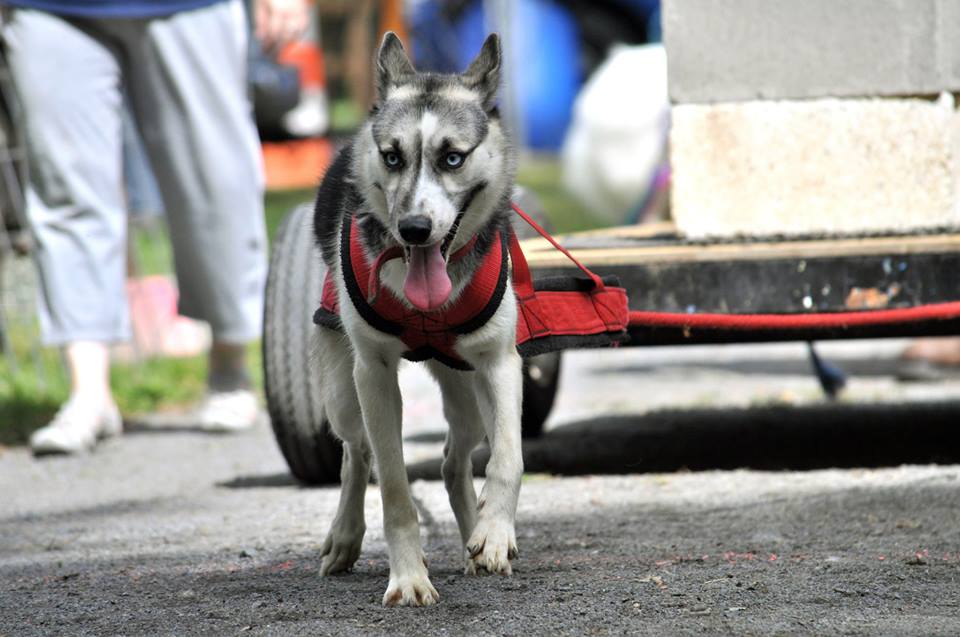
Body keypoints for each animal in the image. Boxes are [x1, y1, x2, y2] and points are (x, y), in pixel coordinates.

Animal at [312, 33, 520, 608]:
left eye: (452, 157)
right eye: (392, 156)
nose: (414, 228)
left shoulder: (501, 364)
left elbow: (508, 460)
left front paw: (494, 534)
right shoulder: (375, 377)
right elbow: (395, 488)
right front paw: (408, 576)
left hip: (468, 396)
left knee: (453, 460)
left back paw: (474, 537)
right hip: (343, 393)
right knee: (356, 453)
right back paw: (344, 535)